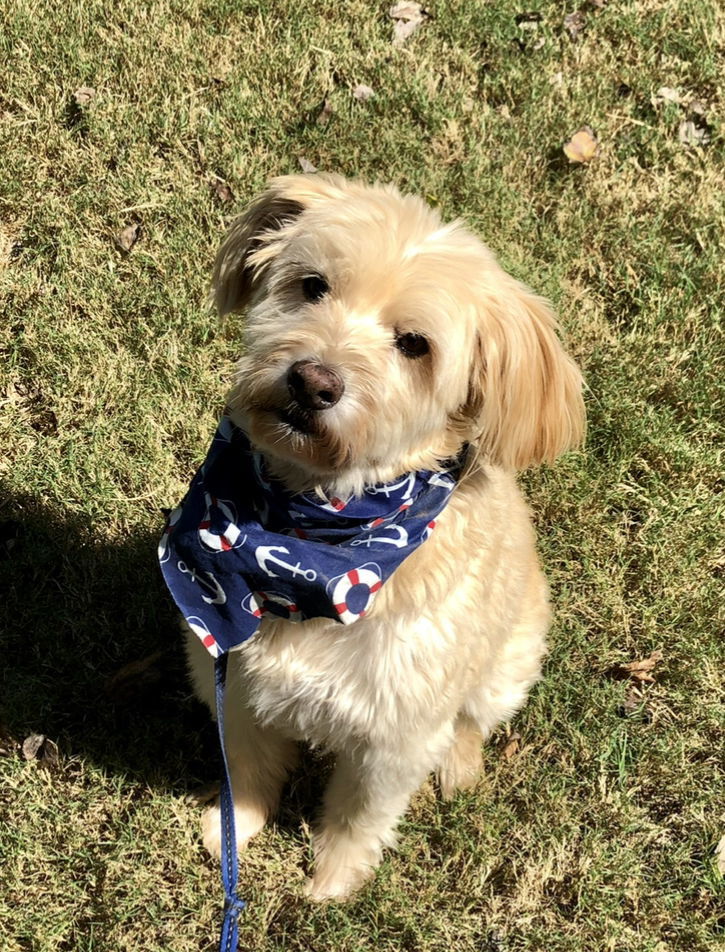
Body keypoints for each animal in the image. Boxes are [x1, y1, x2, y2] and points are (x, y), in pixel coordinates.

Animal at [181, 173, 584, 900]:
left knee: (471, 720)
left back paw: (459, 765)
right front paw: (235, 831)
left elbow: (359, 814)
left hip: (509, 663)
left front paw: (332, 882)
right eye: (312, 286)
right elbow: (247, 767)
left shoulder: (396, 736)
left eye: (414, 344)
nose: (313, 381)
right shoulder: (232, 680)